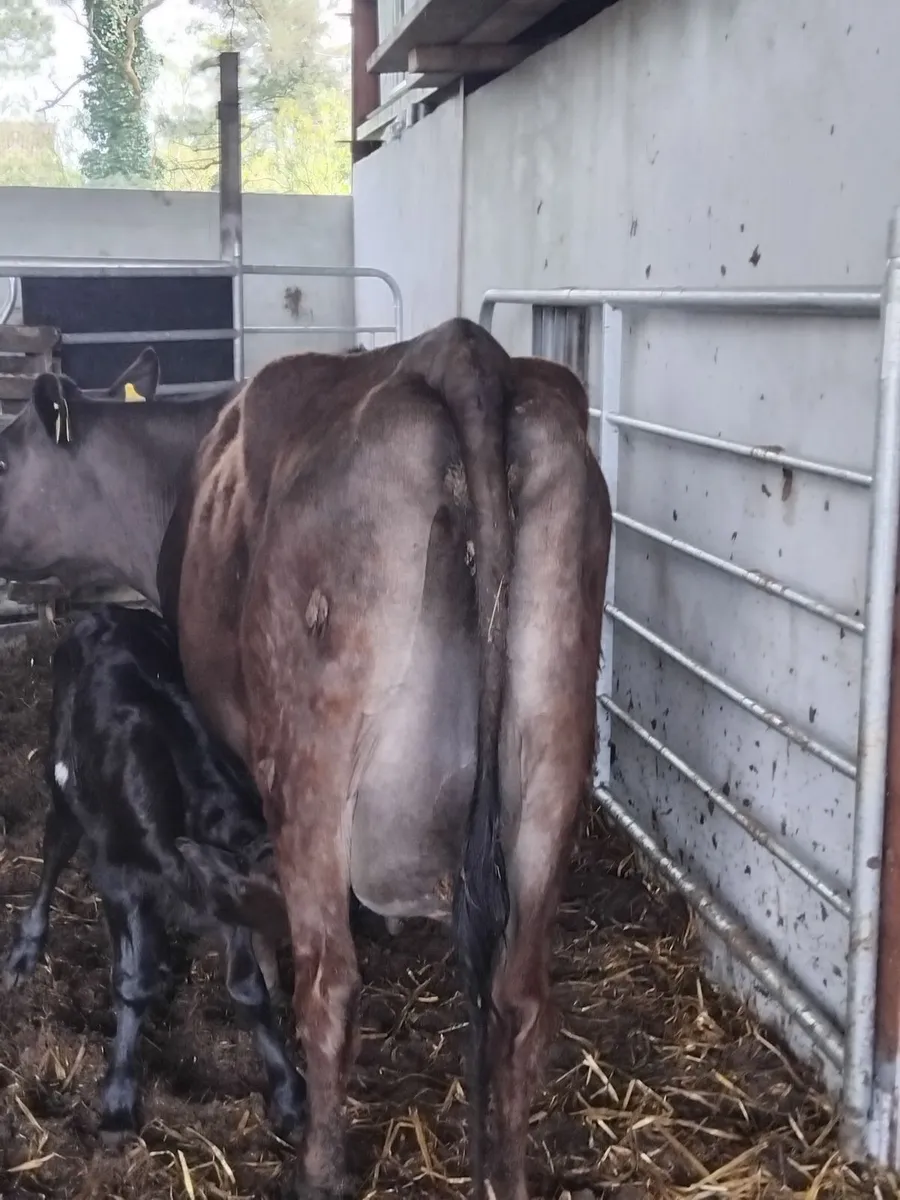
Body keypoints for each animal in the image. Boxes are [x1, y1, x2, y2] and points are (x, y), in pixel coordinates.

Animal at [1, 604, 306, 1144]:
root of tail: (106, 612)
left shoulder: (221, 895)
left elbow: (248, 989)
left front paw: (288, 1091)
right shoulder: (121, 878)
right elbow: (131, 981)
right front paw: (119, 1100)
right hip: (66, 790)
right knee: (52, 857)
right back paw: (25, 951)